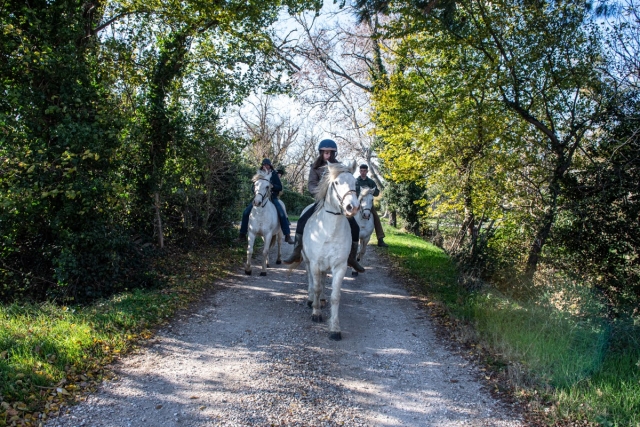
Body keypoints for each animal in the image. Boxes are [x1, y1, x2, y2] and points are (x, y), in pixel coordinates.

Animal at [289, 161, 360, 341]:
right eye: (336, 183)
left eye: (355, 183)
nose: (352, 207)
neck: (329, 231)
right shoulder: (314, 263)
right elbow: (316, 287)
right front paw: (316, 314)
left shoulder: (339, 266)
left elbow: (335, 296)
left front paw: (334, 328)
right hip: (309, 262)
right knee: (312, 281)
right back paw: (311, 300)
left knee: (322, 280)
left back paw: (320, 300)